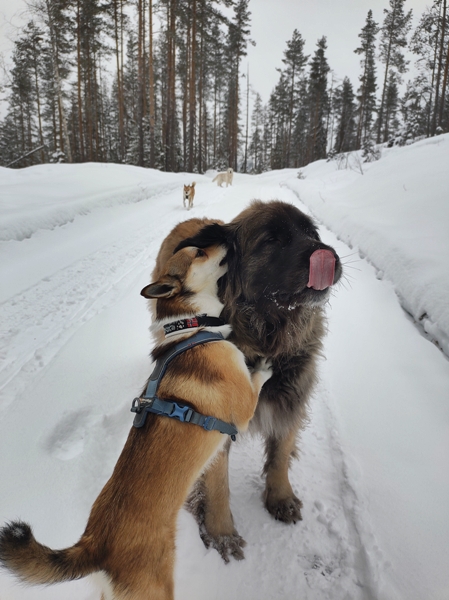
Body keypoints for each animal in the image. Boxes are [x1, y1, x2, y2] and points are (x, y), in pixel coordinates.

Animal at [0, 240, 270, 600]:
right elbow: (256, 381)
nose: (227, 240)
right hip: (155, 589)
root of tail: (94, 547)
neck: (191, 328)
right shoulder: (241, 408)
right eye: (198, 252)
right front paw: (265, 366)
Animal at [156, 202, 342, 564]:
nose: (328, 255)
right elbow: (217, 485)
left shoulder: (291, 399)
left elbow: (280, 454)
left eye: (311, 232)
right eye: (271, 239)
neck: (264, 336)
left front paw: (280, 496)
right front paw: (221, 535)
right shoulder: (213, 420)